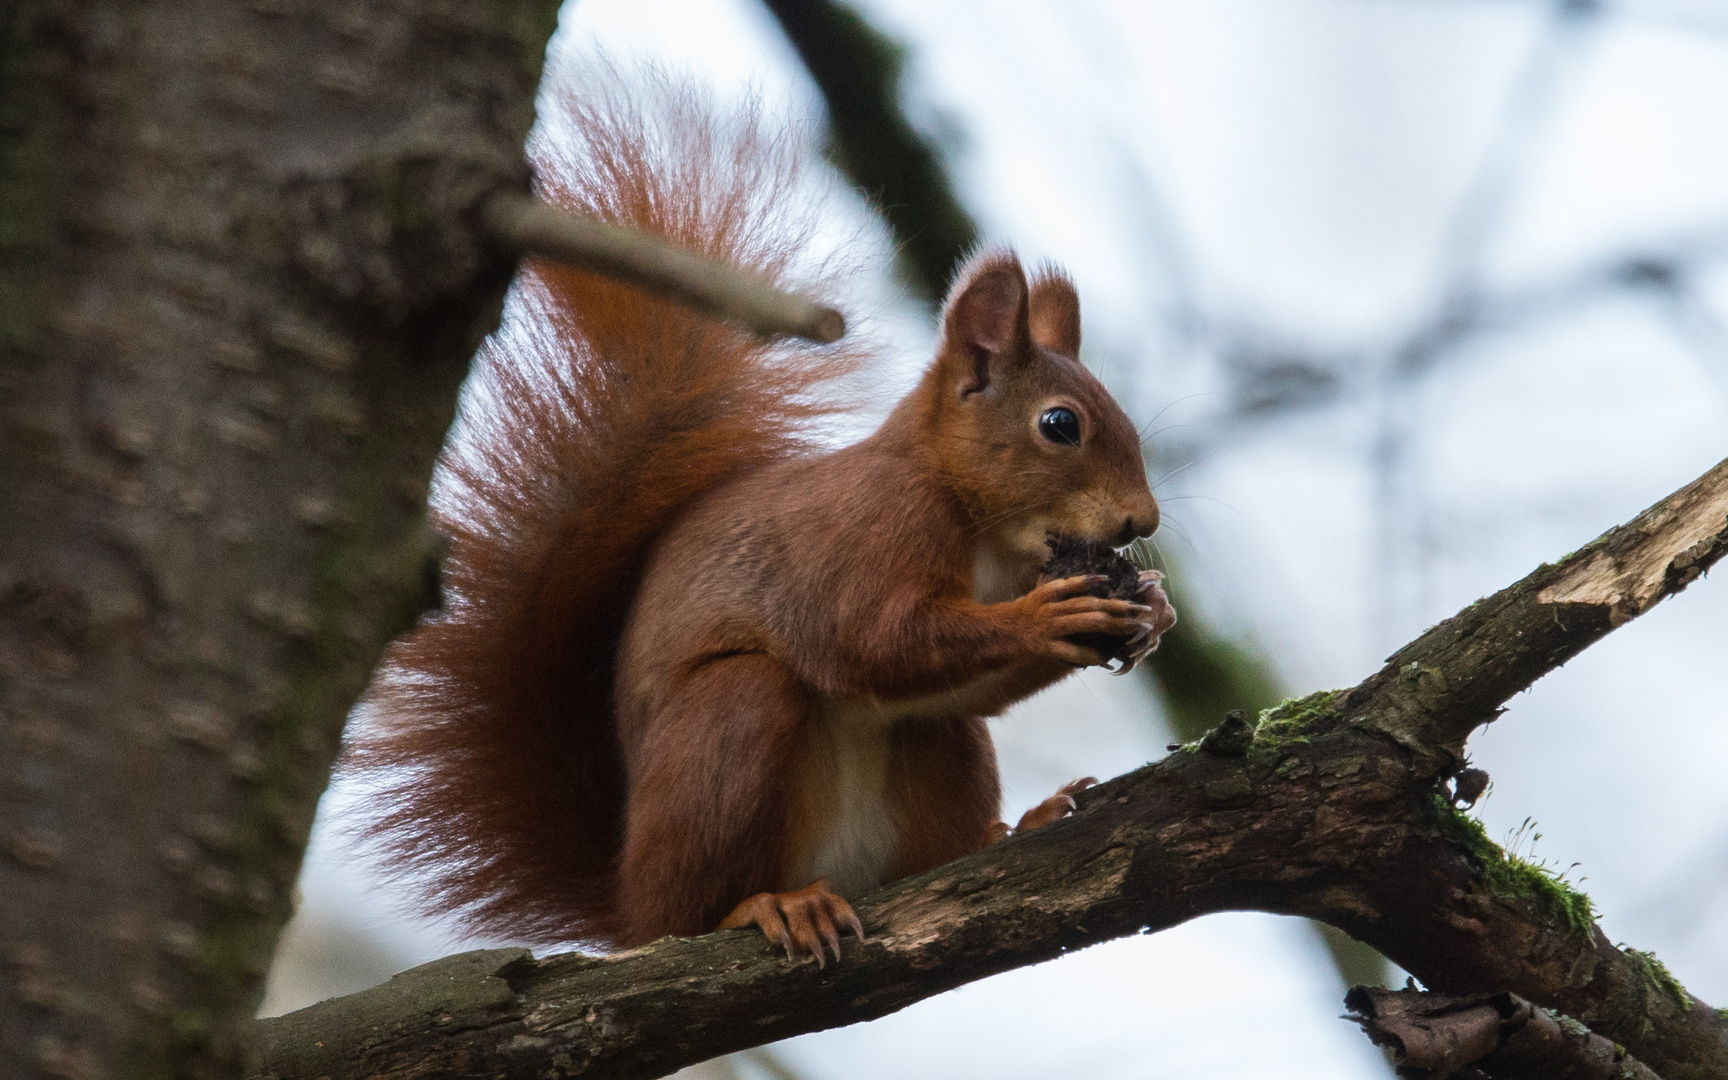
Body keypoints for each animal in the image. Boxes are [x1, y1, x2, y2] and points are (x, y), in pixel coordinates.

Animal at [345, 79, 1175, 967]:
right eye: (1060, 425)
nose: (1143, 518)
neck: (980, 527)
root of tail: (626, 908)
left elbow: (948, 680)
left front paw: (1152, 608)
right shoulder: (868, 534)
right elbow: (870, 640)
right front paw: (1049, 616)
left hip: (936, 748)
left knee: (936, 793)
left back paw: (1013, 827)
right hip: (731, 724)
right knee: (702, 894)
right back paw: (769, 905)